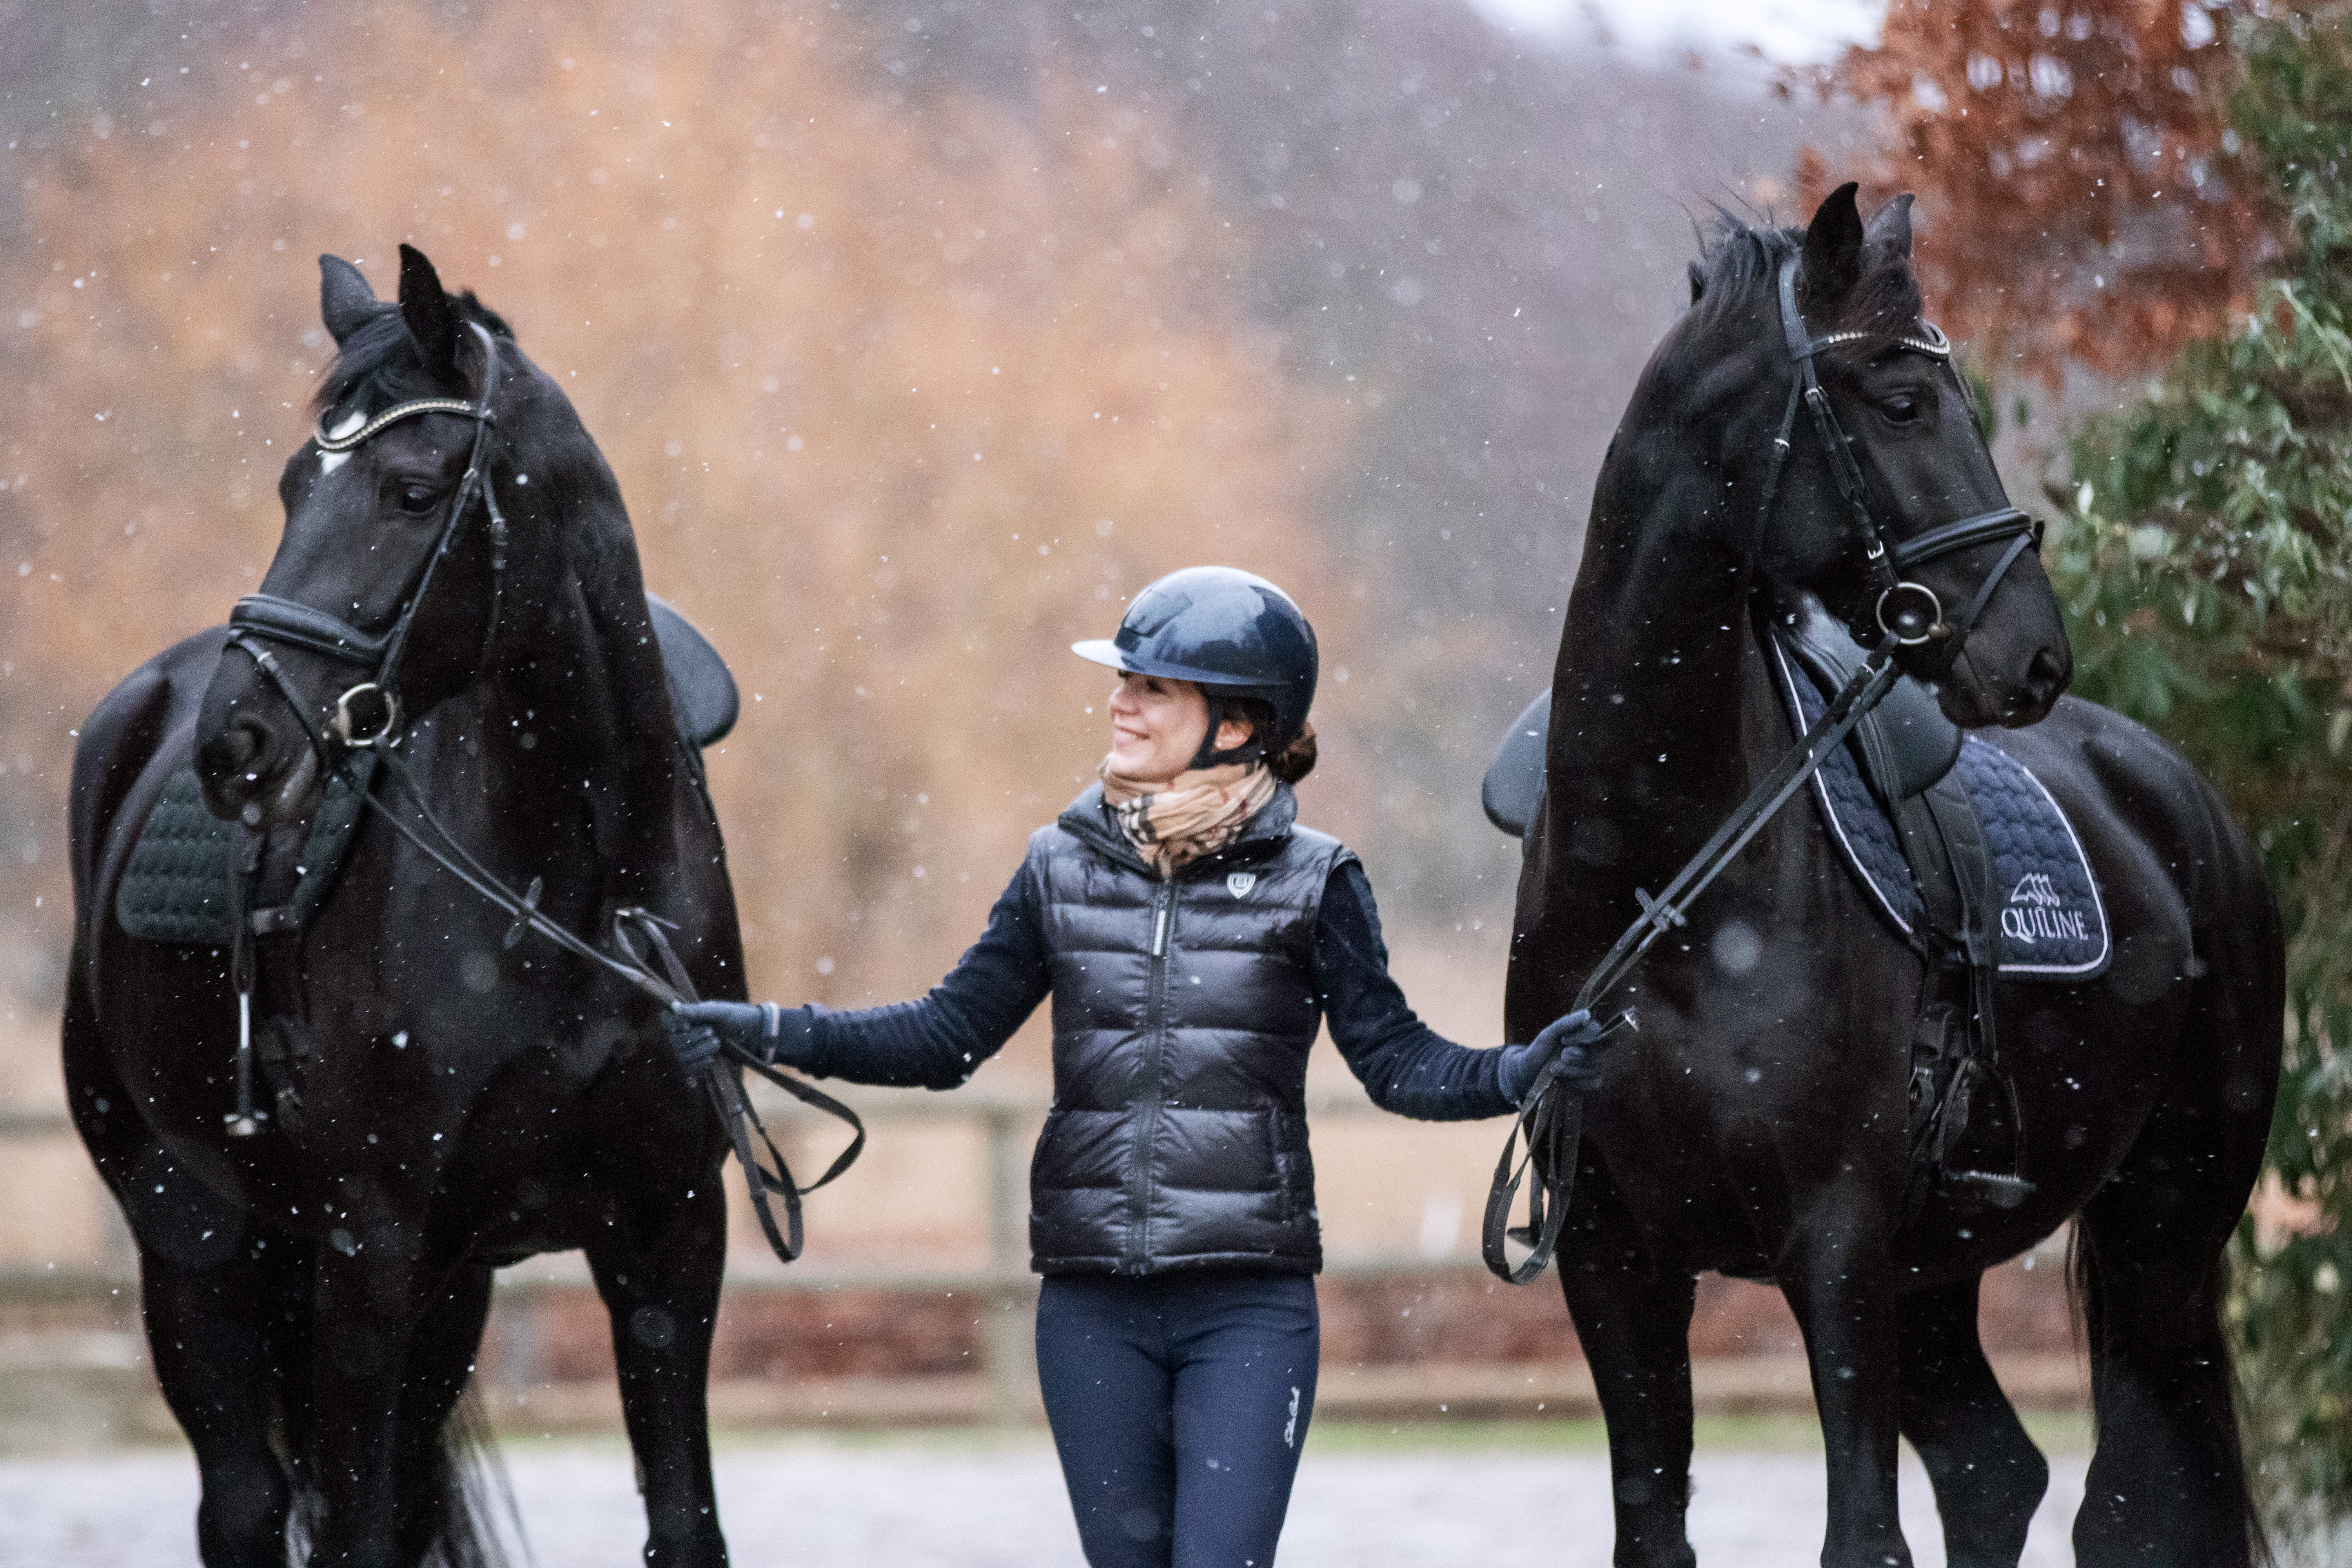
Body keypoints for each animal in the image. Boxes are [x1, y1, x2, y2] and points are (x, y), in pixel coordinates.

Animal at [67, 248, 743, 1568]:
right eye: (292, 486)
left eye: (414, 489)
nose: (239, 742)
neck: (575, 900)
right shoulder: (367, 1250)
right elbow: (352, 1529)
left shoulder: (669, 1240)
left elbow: (684, 1523)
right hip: (194, 1234)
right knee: (245, 1505)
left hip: (448, 1288)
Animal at [1505, 187, 2277, 1568]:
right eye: (1902, 400)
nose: (2032, 653)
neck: (1661, 878)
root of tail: (2186, 802)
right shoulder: (1613, 1260)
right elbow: (1655, 1524)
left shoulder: (1837, 1246)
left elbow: (1861, 1532)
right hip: (1945, 1271)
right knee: (1997, 1472)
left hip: (2165, 1238)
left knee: (2129, 1503)